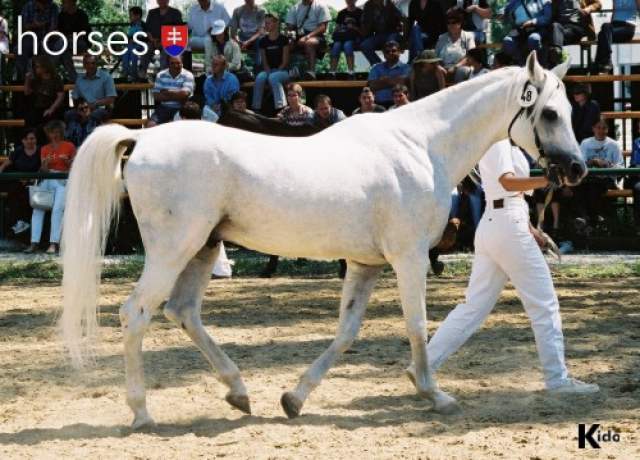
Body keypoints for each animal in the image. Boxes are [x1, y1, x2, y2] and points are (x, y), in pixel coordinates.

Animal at [61, 53, 586, 429]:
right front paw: (435, 394)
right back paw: (142, 412)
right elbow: (417, 324)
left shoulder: (365, 263)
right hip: (174, 249)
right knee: (136, 313)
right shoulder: (409, 257)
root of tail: (142, 141)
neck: (421, 146)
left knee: (183, 311)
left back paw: (239, 392)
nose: (577, 168)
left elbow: (346, 332)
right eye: (550, 113)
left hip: (203, 247)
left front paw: (294, 398)